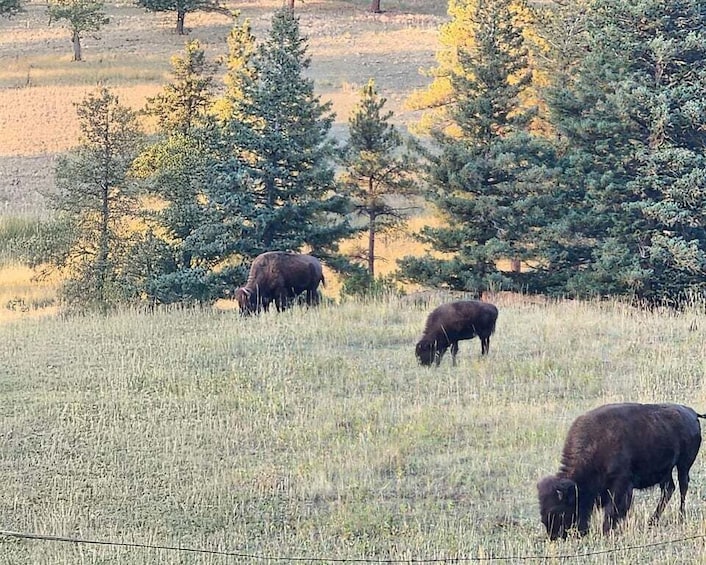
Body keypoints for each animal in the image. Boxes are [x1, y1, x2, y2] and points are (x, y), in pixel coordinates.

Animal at [536, 400, 700, 536]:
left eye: (557, 510)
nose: (554, 536)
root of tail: (692, 413)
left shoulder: (620, 484)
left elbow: (613, 509)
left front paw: (606, 530)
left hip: (683, 465)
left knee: (683, 487)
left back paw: (680, 517)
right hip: (665, 471)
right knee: (668, 489)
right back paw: (652, 521)